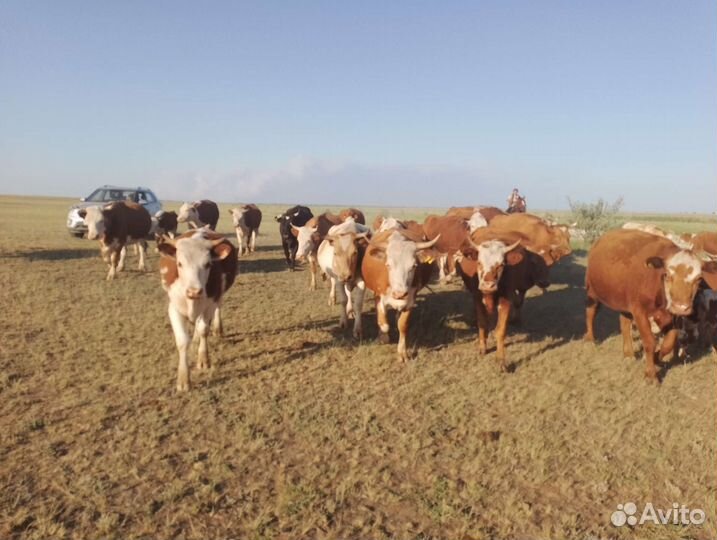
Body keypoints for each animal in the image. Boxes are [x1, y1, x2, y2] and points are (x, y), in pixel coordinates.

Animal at [157, 229, 238, 392]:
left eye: (208, 264)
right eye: (179, 263)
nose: (194, 291)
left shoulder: (210, 304)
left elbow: (203, 330)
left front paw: (203, 360)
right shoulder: (173, 308)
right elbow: (182, 341)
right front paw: (183, 379)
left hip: (219, 297)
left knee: (217, 309)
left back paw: (217, 329)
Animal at [361, 229, 440, 362]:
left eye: (414, 266)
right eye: (388, 265)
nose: (400, 294)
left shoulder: (410, 301)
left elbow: (402, 325)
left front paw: (402, 353)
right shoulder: (379, 297)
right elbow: (384, 324)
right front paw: (383, 338)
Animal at [584, 229, 717, 383]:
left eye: (699, 278)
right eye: (667, 275)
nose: (681, 307)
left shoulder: (674, 317)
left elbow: (668, 343)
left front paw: (656, 358)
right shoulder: (639, 312)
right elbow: (649, 342)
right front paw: (651, 374)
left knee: (624, 323)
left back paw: (628, 353)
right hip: (592, 292)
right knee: (590, 313)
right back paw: (590, 339)